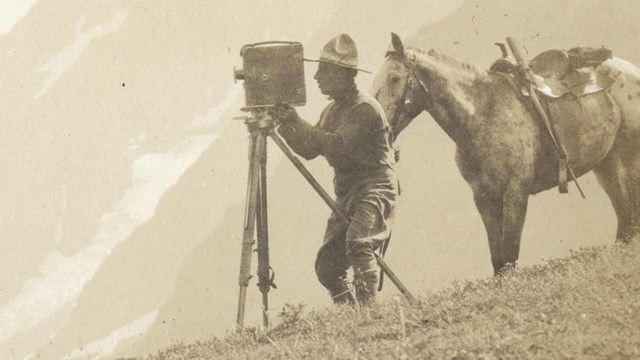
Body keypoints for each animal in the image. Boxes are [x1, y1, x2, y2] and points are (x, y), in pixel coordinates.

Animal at [370, 34, 640, 276]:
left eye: (395, 78)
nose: (380, 128)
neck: (480, 116)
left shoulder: (515, 193)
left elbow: (510, 253)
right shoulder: (483, 198)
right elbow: (497, 259)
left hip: (629, 157)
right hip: (606, 163)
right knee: (624, 213)